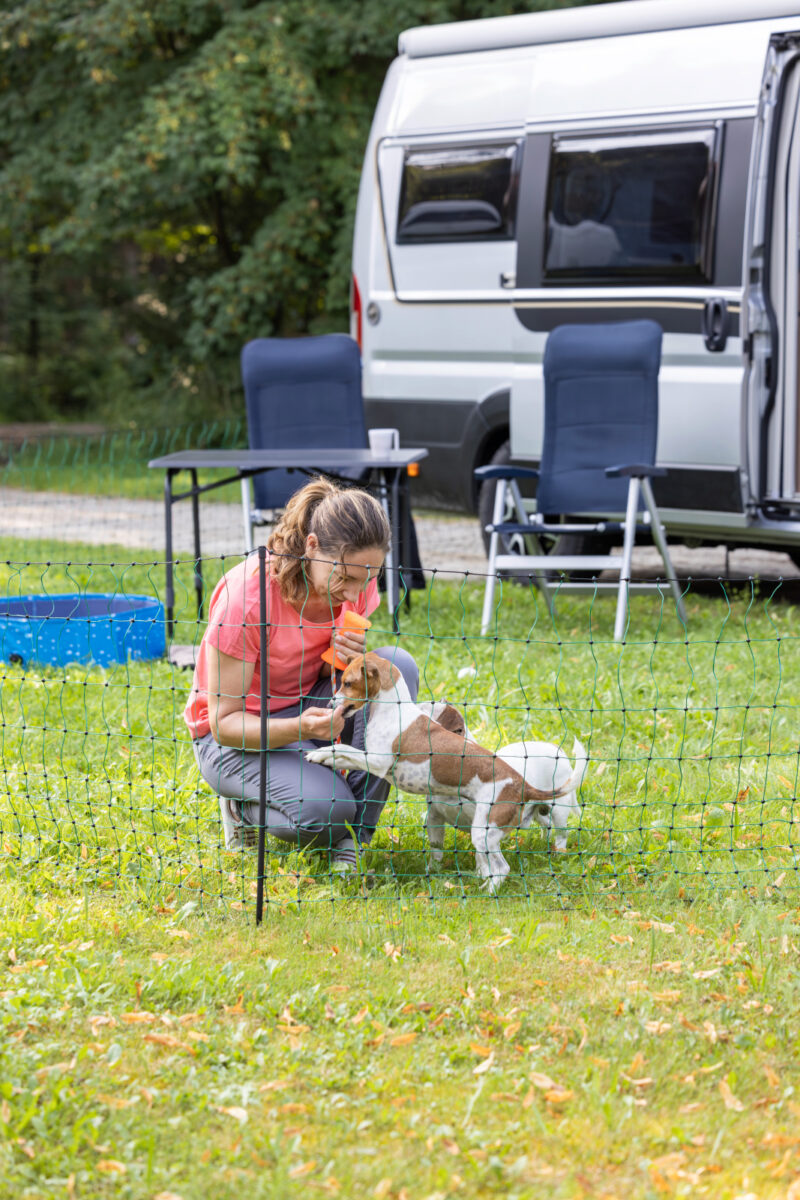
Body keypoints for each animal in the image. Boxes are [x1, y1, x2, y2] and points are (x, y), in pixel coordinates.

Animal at [309, 648, 587, 892]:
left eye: (347, 683)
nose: (330, 703)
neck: (393, 711)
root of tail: (522, 783)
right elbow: (344, 754)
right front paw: (325, 756)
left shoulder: (378, 762)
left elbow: (344, 748)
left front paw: (320, 754)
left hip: (485, 832)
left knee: (503, 867)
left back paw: (488, 892)